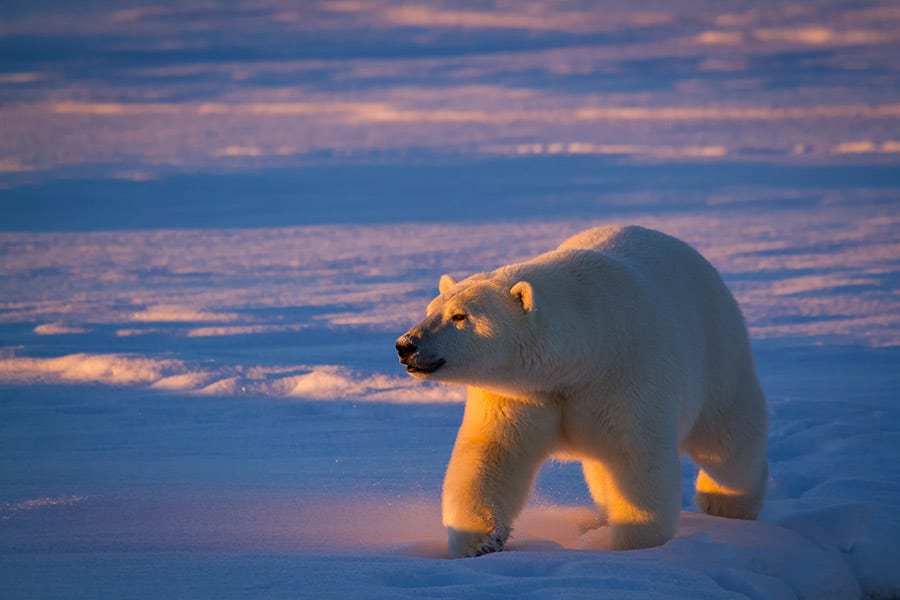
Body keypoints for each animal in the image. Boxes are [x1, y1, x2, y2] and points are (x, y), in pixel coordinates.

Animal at [395, 225, 768, 558]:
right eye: (431, 309)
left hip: (718, 348)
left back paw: (725, 502)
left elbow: (639, 460)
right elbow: (491, 453)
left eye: (460, 316)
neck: (581, 354)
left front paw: (634, 545)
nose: (405, 345)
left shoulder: (629, 374)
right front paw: (479, 541)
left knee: (726, 437)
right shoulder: (521, 393)